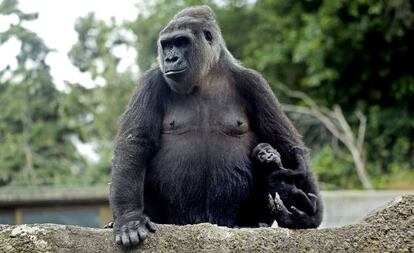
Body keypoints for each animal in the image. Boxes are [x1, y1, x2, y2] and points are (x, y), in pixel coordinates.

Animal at [110, 5, 324, 247]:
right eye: (166, 45)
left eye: (181, 42)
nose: (171, 58)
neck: (208, 75)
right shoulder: (150, 81)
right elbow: (136, 144)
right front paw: (130, 219)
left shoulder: (254, 82)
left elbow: (284, 141)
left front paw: (309, 215)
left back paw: (254, 222)